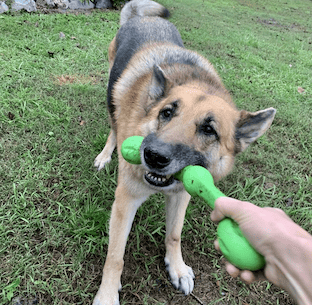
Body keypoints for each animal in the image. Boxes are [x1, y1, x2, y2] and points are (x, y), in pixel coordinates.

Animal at [92, 1, 276, 302]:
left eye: (209, 130)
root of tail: (143, 18)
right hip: (111, 92)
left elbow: (174, 235)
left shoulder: (181, 196)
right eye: (166, 113)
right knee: (113, 126)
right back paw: (106, 154)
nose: (153, 156)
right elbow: (115, 257)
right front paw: (107, 296)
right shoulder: (125, 201)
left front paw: (176, 268)